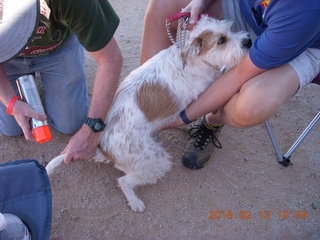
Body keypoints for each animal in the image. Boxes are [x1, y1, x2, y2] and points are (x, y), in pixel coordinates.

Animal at [46, 16, 251, 212]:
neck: (190, 59)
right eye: (221, 40)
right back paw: (135, 202)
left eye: (230, 29)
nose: (248, 41)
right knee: (124, 181)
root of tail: (105, 150)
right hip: (155, 161)